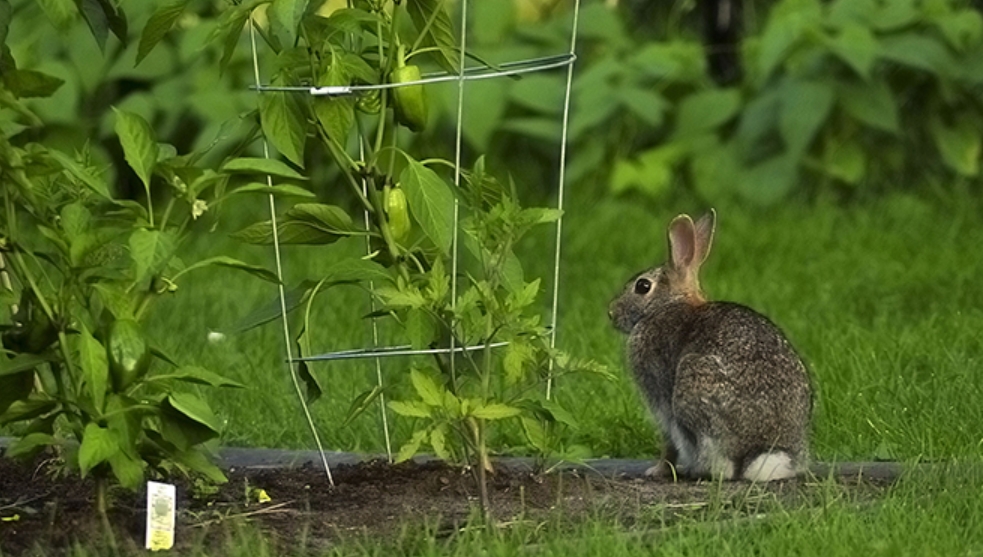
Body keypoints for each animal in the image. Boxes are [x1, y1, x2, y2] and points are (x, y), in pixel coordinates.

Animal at [612, 211, 812, 480]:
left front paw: (657, 470)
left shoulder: (660, 397)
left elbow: (668, 442)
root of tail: (759, 452)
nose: (611, 313)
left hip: (692, 388)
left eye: (642, 286)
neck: (668, 304)